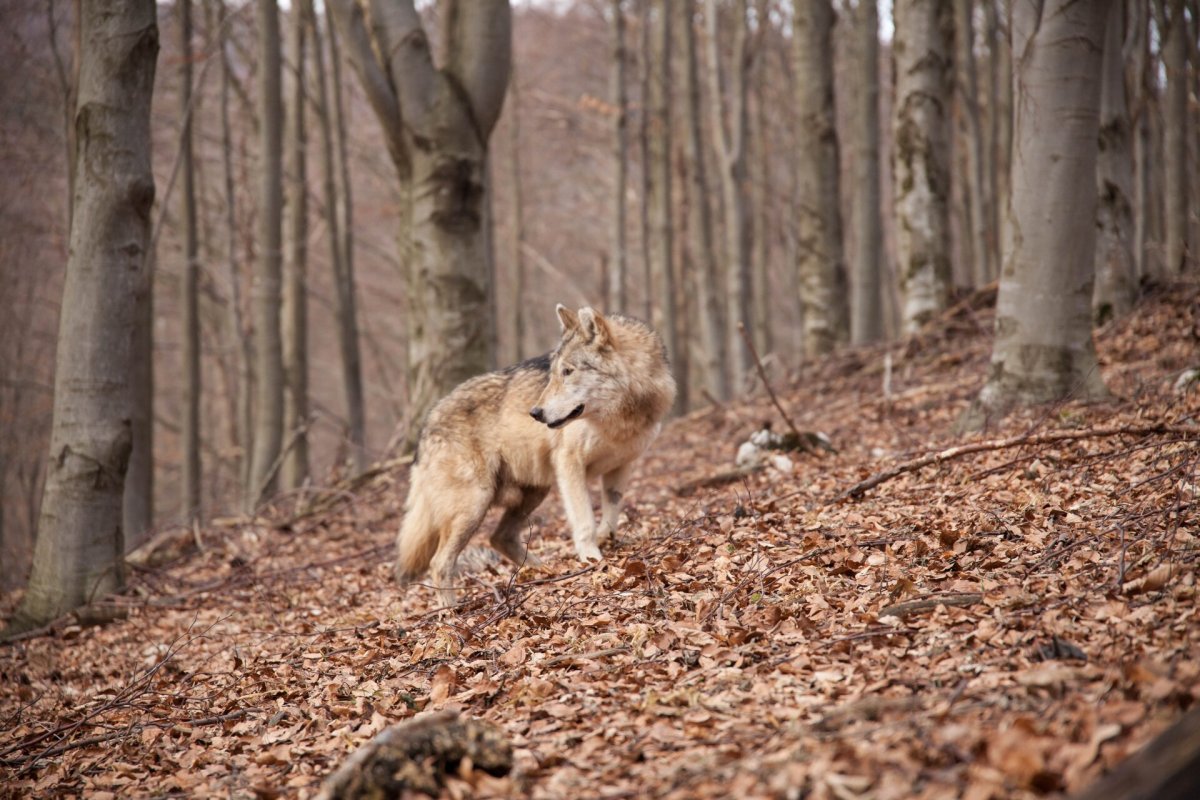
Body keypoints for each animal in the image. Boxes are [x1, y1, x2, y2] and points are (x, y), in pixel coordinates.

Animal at [393, 304, 676, 606]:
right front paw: (592, 559)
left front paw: (605, 542)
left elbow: (612, 514)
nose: (535, 413)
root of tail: (427, 423)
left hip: (534, 493)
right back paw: (450, 612)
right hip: (475, 504)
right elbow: (584, 521)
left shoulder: (621, 465)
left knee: (499, 538)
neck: (619, 417)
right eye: (554, 373)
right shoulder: (569, 464)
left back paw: (545, 572)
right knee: (440, 563)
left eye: (568, 371)